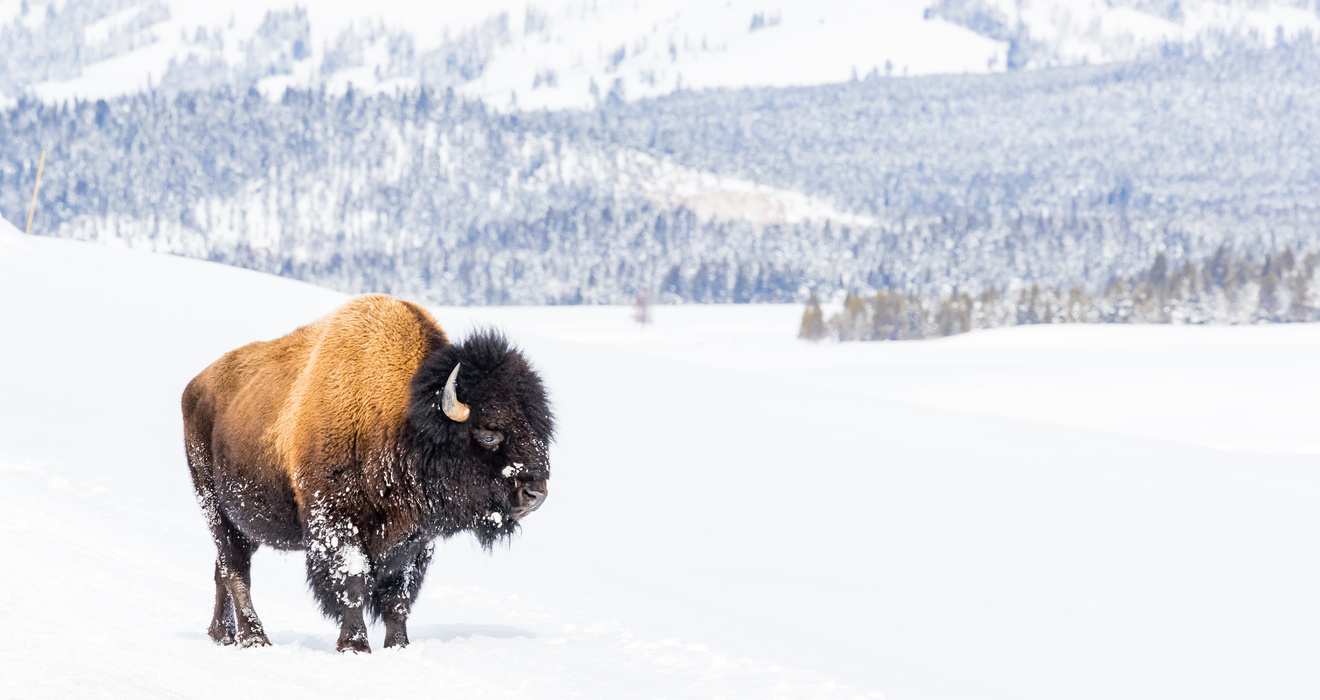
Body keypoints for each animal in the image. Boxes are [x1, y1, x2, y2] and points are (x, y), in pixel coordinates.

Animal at [182, 295, 553, 652]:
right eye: (489, 434)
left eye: (539, 431)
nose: (535, 494)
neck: (404, 421)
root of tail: (195, 386)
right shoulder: (336, 523)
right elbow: (354, 583)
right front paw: (355, 645)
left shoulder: (415, 541)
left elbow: (398, 596)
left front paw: (398, 646)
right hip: (214, 505)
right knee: (235, 571)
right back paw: (254, 638)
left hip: (245, 523)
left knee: (224, 568)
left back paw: (223, 635)